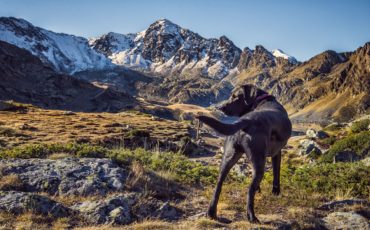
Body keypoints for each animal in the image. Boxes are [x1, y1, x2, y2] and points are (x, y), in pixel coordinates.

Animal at [198, 84, 290, 223]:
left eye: (235, 97)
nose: (220, 108)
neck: (261, 100)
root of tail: (245, 121)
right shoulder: (276, 152)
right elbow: (276, 172)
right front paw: (276, 191)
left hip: (229, 157)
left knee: (218, 184)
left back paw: (211, 212)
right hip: (259, 161)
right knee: (250, 190)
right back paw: (252, 216)